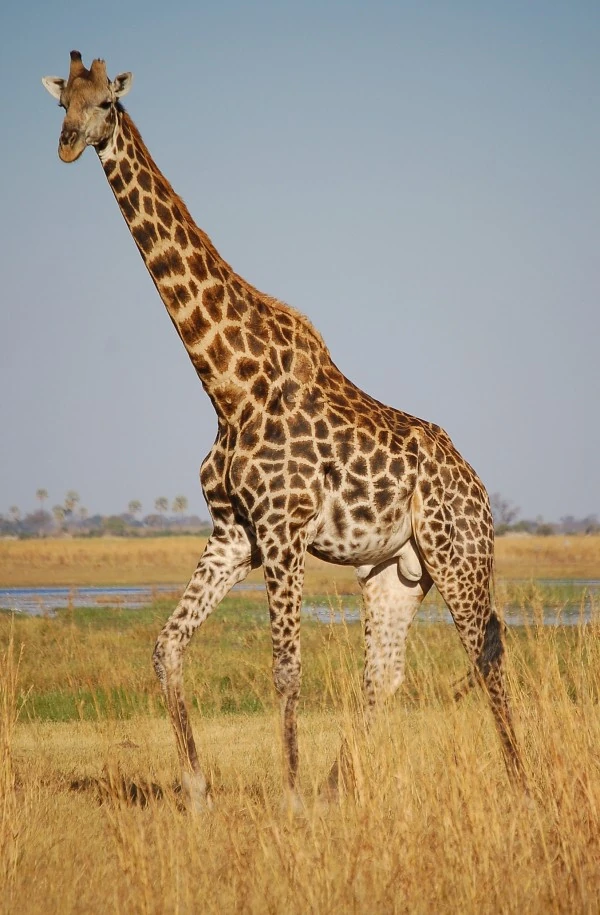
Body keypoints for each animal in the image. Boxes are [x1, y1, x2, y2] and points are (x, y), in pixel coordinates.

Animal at [43, 51, 526, 810]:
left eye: (107, 106)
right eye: (63, 100)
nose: (66, 144)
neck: (226, 385)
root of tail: (478, 485)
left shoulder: (282, 528)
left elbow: (286, 669)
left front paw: (290, 796)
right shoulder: (232, 532)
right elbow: (166, 647)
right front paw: (198, 789)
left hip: (459, 554)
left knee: (486, 651)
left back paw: (519, 784)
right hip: (394, 571)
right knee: (385, 675)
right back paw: (336, 787)